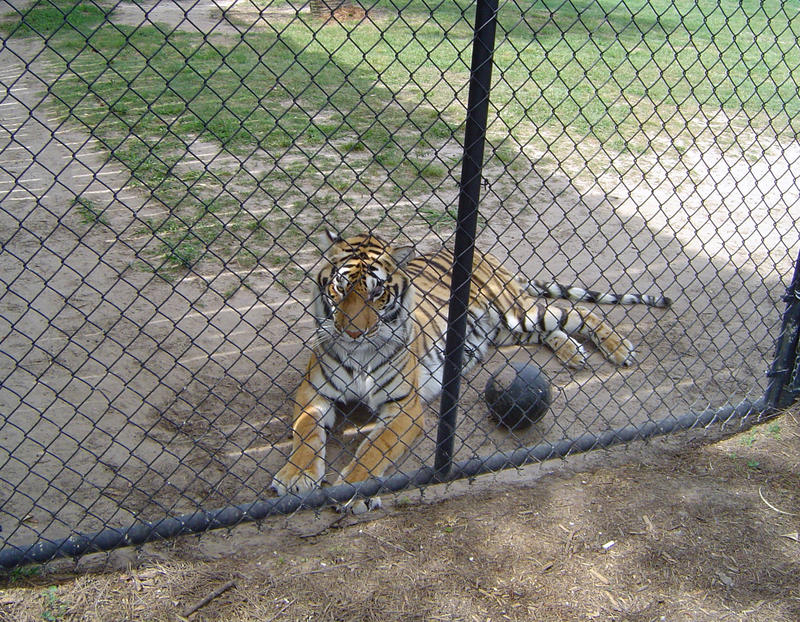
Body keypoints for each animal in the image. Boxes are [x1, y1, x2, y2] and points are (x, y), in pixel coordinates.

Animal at [272, 229, 672, 512]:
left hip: (517, 311)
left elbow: (375, 447)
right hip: (508, 329)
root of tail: (483, 252)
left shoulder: (405, 406)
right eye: (340, 288)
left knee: (579, 313)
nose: (353, 332)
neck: (360, 354)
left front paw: (355, 489)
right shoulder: (313, 392)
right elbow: (305, 433)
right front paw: (295, 478)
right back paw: (572, 352)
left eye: (377, 293)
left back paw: (619, 348)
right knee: (550, 330)